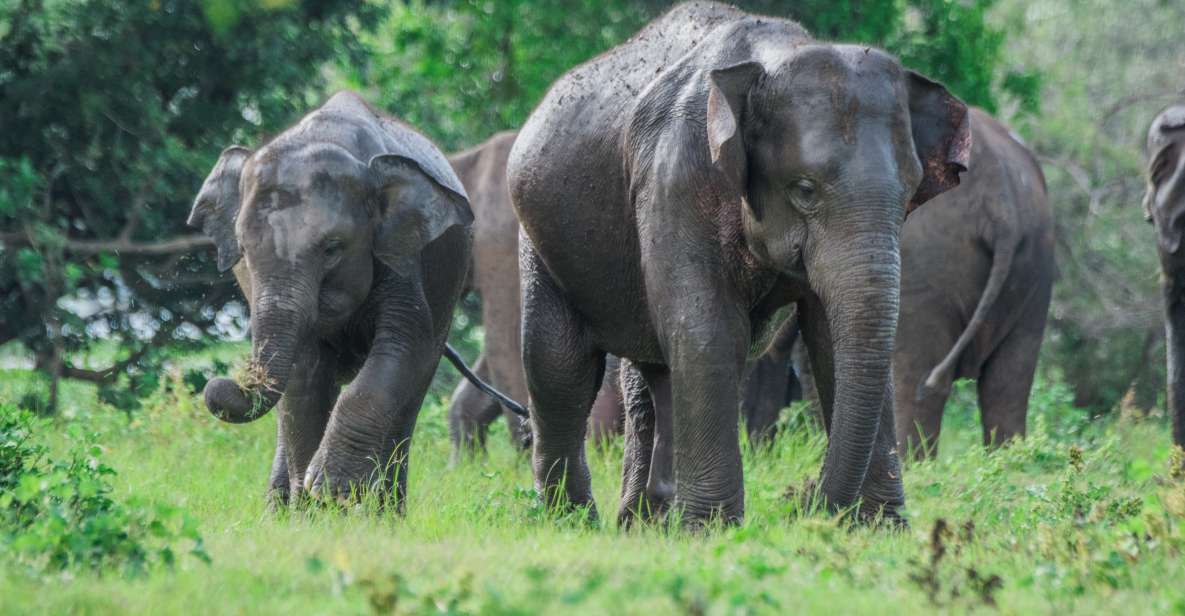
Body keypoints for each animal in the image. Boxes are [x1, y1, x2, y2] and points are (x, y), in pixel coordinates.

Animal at [187, 88, 516, 507]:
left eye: (332, 248)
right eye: (243, 250)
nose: (219, 383)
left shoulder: (402, 254)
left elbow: (403, 346)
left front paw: (333, 490)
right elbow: (305, 376)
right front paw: (314, 506)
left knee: (411, 393)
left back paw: (385, 511)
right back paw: (282, 509)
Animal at [504, 2, 966, 525]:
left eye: (909, 195)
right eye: (804, 189)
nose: (802, 501)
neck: (775, 56)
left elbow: (829, 335)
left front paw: (881, 529)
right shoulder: (675, 177)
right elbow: (709, 330)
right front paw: (713, 530)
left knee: (649, 371)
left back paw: (643, 522)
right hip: (539, 238)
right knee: (560, 366)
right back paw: (574, 521)